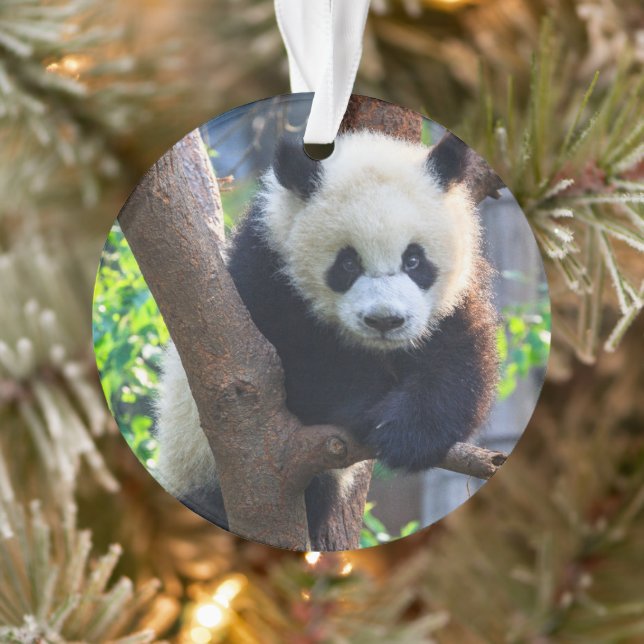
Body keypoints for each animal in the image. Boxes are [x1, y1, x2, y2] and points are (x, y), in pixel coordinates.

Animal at [154, 129, 500, 543]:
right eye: (347, 264)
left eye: (414, 260)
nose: (385, 320)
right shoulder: (264, 275)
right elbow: (296, 368)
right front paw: (370, 409)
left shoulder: (453, 297)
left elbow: (459, 359)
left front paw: (406, 433)